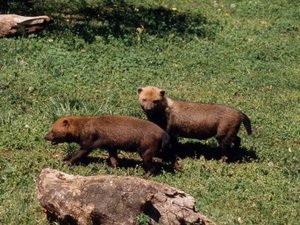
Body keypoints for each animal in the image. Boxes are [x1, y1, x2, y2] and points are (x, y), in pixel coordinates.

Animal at [45, 116, 175, 178]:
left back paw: (145, 175)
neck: (82, 126)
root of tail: (164, 134)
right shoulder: (111, 145)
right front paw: (115, 168)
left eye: (53, 130)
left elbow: (78, 155)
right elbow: (113, 159)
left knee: (153, 167)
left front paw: (66, 162)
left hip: (146, 150)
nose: (45, 137)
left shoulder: (88, 143)